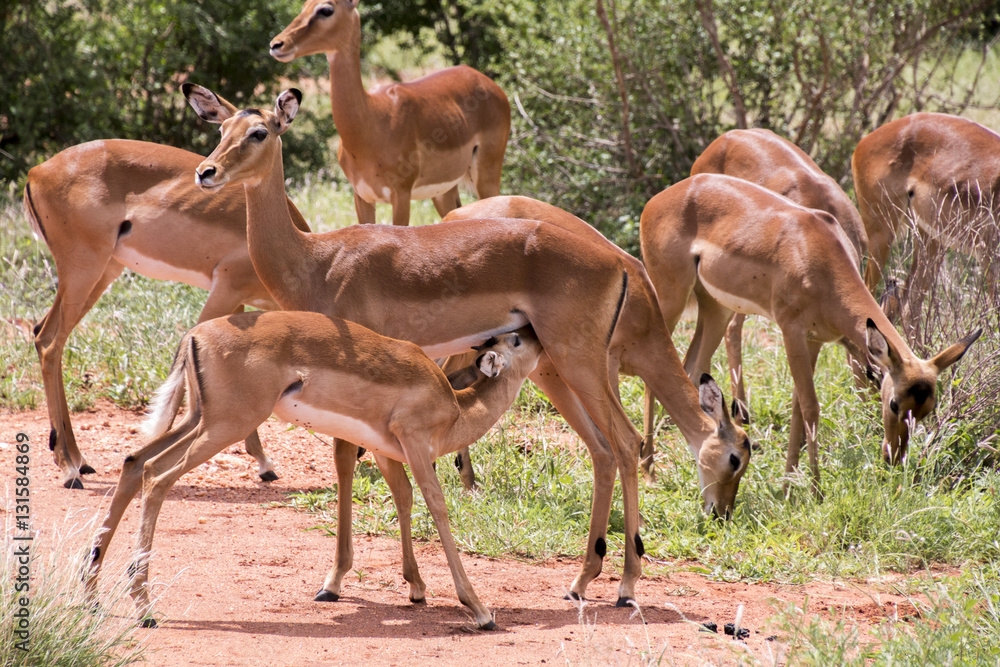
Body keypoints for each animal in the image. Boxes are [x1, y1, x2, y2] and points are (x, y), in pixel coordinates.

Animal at [23, 140, 311, 489]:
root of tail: (37, 172)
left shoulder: (238, 303)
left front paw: (263, 462)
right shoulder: (225, 289)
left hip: (102, 273)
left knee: (42, 333)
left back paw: (79, 460)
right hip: (83, 270)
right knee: (50, 342)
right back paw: (69, 469)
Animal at [87, 312, 541, 630]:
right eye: (516, 339)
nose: (535, 329)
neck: (456, 408)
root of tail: (195, 336)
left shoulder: (386, 453)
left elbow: (404, 498)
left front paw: (415, 588)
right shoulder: (414, 445)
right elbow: (438, 507)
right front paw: (480, 610)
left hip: (200, 420)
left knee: (134, 463)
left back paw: (92, 597)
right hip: (225, 425)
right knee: (157, 476)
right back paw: (144, 610)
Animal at [179, 83, 748, 611]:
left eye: (260, 132)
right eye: (221, 128)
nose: (206, 172)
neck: (317, 260)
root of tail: (621, 264)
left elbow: (349, 464)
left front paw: (337, 581)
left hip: (579, 362)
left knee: (626, 443)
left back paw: (627, 586)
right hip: (557, 370)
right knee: (604, 448)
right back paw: (582, 582)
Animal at [269, 0, 510, 226]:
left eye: (326, 9)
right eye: (304, 6)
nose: (276, 44)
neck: (371, 121)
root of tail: (489, 83)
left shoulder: (401, 194)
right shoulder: (362, 197)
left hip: (487, 175)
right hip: (443, 191)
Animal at [640, 174, 980, 492]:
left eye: (927, 409)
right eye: (895, 403)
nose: (893, 457)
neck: (819, 256)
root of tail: (662, 197)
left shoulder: (814, 340)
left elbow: (796, 412)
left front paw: (788, 485)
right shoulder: (791, 331)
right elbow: (811, 407)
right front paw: (815, 490)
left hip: (716, 308)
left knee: (691, 367)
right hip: (669, 298)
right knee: (651, 375)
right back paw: (648, 469)